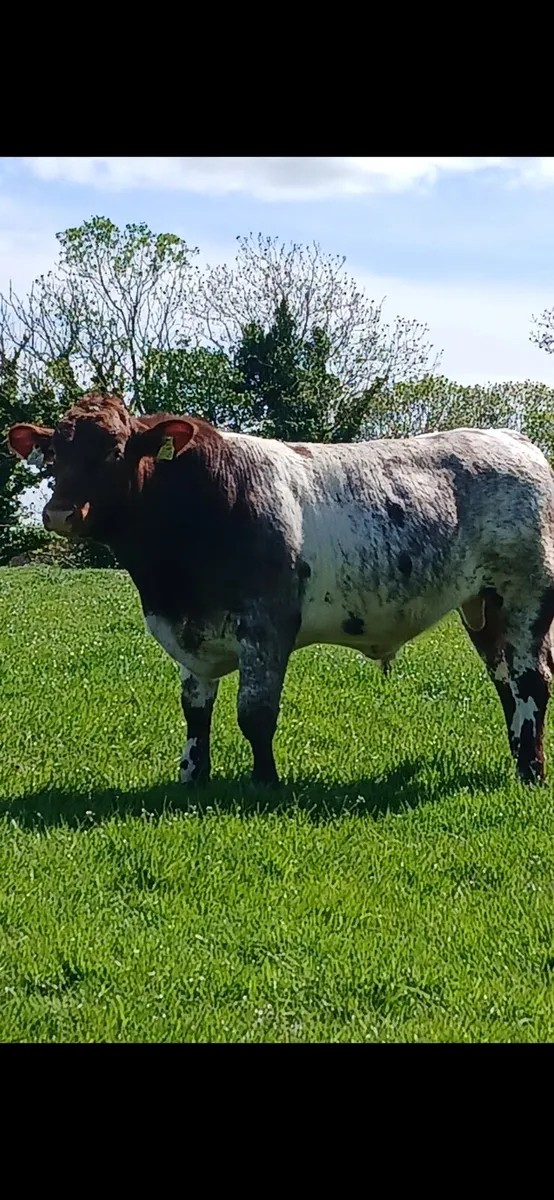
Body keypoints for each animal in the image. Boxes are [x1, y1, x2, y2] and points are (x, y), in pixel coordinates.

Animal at [8, 392, 554, 788]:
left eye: (115, 449)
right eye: (53, 453)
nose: (59, 513)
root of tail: (513, 440)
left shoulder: (265, 624)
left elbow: (256, 712)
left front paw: (265, 782)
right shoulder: (189, 632)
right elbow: (195, 709)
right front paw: (192, 776)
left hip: (525, 597)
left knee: (532, 682)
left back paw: (530, 775)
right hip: (482, 605)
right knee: (505, 681)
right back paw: (520, 759)